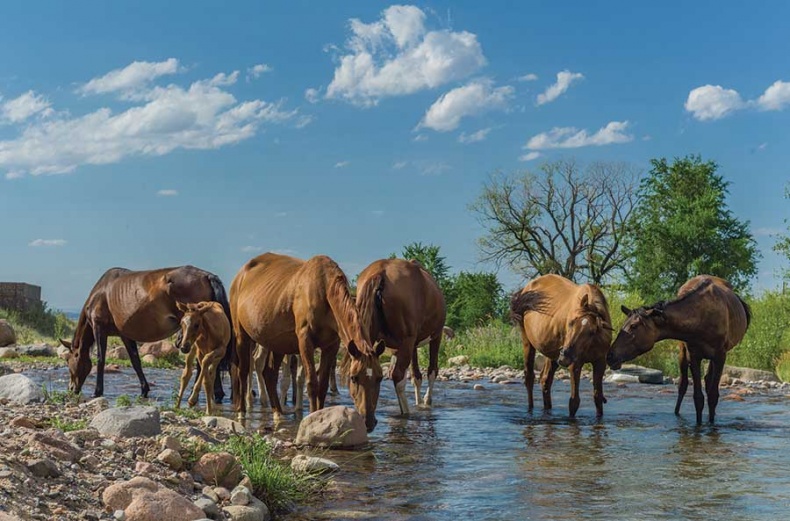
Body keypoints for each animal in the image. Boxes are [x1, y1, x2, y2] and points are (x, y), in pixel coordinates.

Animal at [60, 266, 234, 396]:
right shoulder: (125, 335)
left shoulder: (99, 328)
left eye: (69, 360)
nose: (71, 388)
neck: (101, 293)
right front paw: (144, 389)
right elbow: (135, 361)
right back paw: (216, 393)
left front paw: (97, 391)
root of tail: (207, 276)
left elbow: (101, 359)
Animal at [229, 254, 384, 428]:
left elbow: (322, 385)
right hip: (242, 335)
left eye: (380, 377)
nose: (369, 421)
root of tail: (240, 276)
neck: (324, 289)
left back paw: (278, 413)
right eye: (354, 378)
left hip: (277, 343)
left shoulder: (331, 346)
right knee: (243, 371)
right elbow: (312, 383)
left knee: (269, 374)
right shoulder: (305, 340)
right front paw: (312, 417)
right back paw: (241, 412)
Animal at [352, 258, 446, 416]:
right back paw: (406, 412)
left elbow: (416, 376)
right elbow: (432, 370)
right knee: (398, 375)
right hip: (408, 340)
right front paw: (426, 402)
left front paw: (419, 402)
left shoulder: (408, 345)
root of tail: (380, 273)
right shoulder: (435, 336)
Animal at [510, 274, 616, 416]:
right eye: (570, 322)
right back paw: (530, 409)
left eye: (592, 331)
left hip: (551, 354)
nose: (565, 356)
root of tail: (524, 290)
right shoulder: (575, 364)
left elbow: (598, 398)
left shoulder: (600, 362)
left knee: (545, 380)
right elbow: (574, 402)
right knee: (529, 378)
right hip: (527, 340)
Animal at [608, 274, 752, 424]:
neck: (700, 322)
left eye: (634, 326)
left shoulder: (720, 355)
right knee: (683, 384)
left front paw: (710, 423)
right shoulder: (694, 355)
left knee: (707, 382)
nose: (610, 355)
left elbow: (713, 395)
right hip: (683, 350)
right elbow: (698, 397)